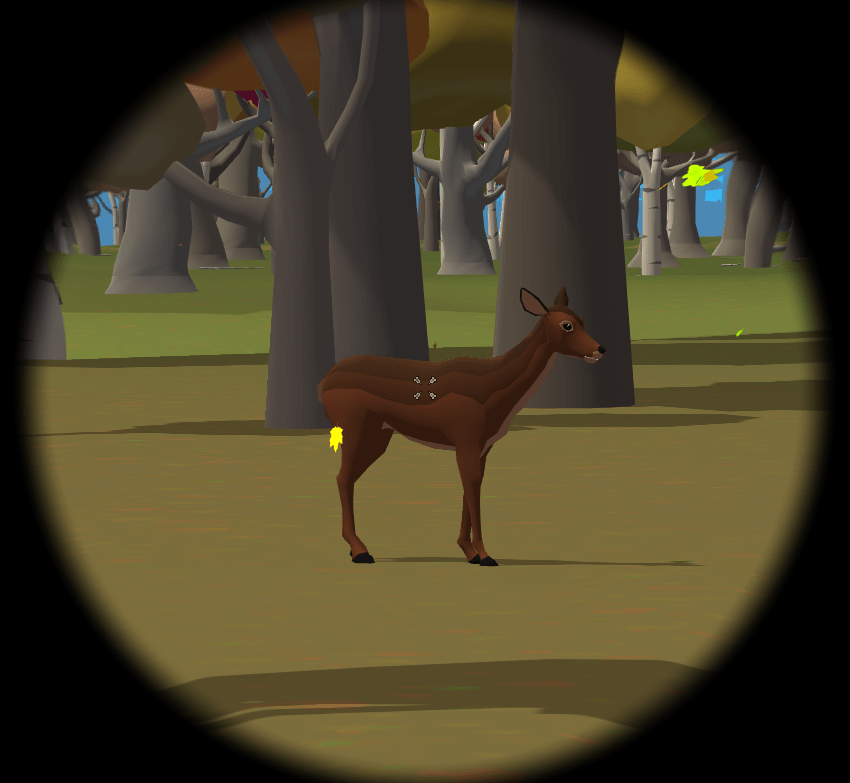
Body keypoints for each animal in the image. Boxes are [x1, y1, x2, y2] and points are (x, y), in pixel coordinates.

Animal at [318, 287, 606, 566]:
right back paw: (360, 551)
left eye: (582, 320)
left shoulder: (482, 446)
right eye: (567, 325)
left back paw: (357, 548)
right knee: (342, 477)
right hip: (352, 426)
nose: (600, 349)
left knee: (348, 477)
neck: (493, 386)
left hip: (378, 435)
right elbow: (472, 486)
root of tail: (323, 383)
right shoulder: (466, 437)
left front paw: (470, 552)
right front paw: (486, 555)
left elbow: (471, 488)